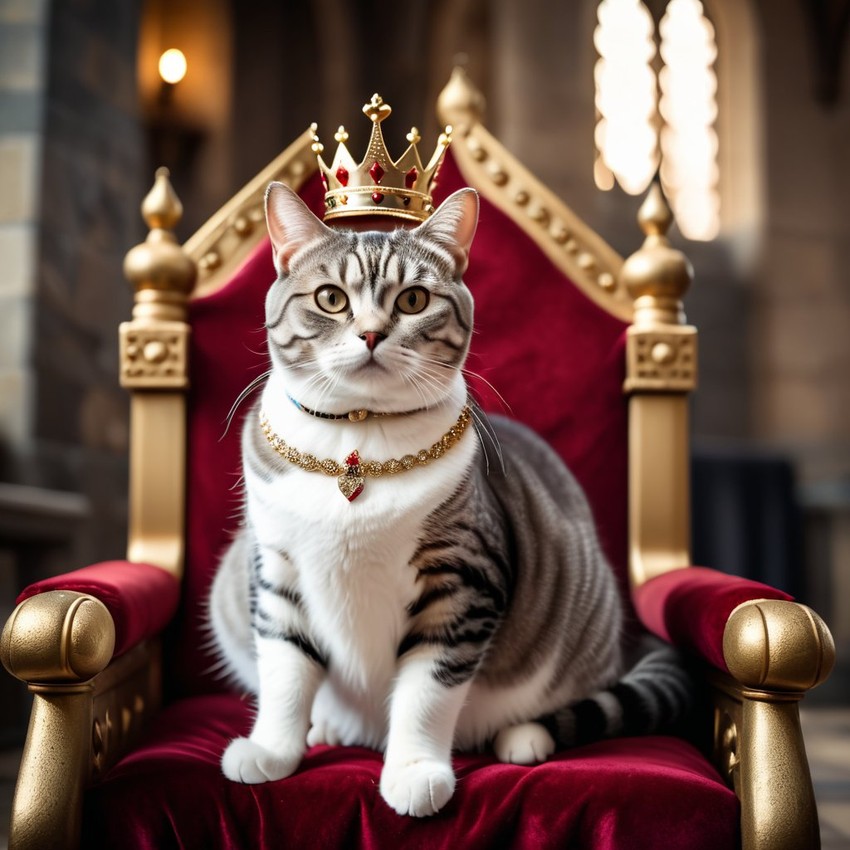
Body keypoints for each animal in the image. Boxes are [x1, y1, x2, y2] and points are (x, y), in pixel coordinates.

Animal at [207, 179, 688, 816]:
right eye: (331, 298)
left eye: (413, 300)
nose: (371, 333)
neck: (357, 440)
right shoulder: (277, 570)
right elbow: (285, 672)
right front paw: (272, 751)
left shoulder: (463, 581)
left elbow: (427, 689)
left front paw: (414, 772)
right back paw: (329, 727)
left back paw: (524, 738)